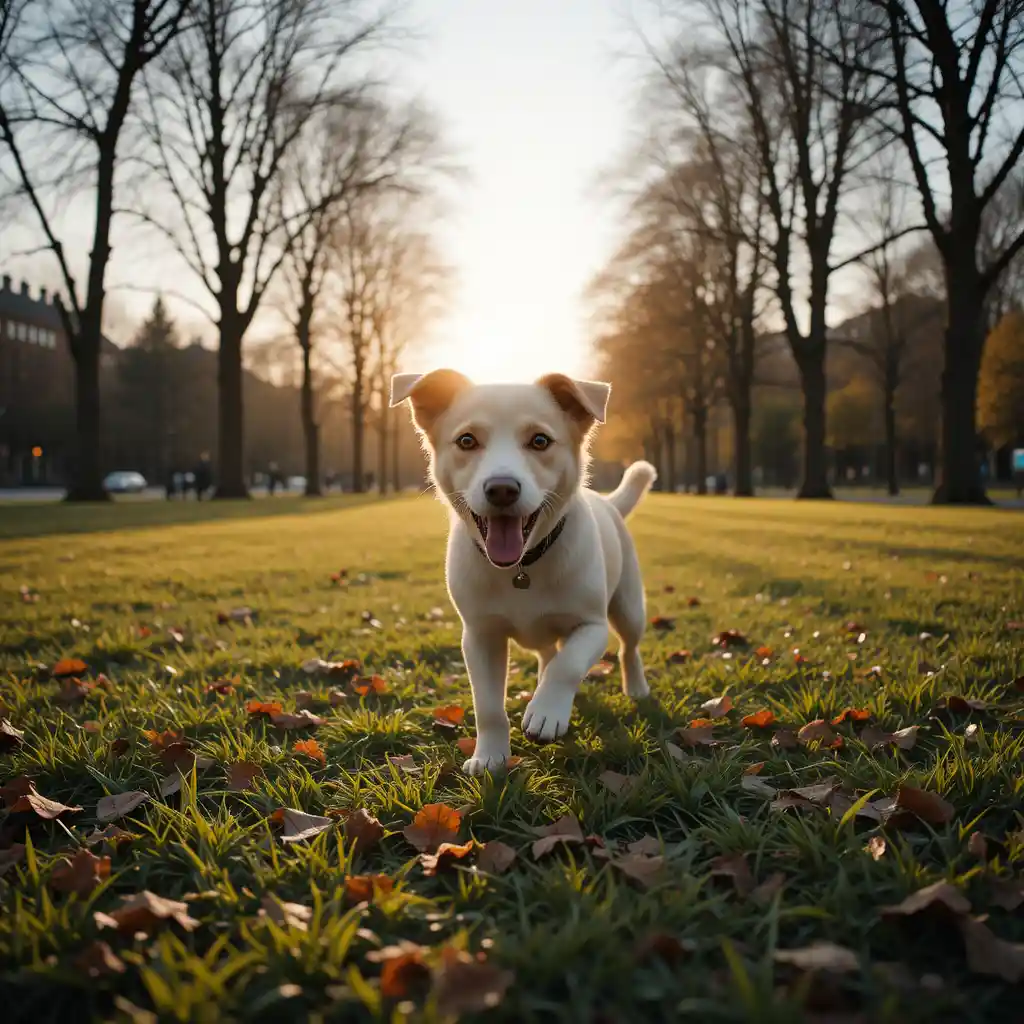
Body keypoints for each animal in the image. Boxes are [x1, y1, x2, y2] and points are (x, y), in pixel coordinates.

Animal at [391, 370, 655, 774]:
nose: (502, 488)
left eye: (540, 440)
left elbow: (568, 665)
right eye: (466, 440)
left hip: (628, 607)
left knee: (628, 648)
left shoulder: (592, 627)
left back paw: (636, 687)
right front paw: (489, 756)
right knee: (549, 654)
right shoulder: (480, 637)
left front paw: (547, 713)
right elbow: (487, 706)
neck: (521, 568)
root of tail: (608, 503)